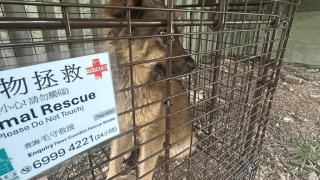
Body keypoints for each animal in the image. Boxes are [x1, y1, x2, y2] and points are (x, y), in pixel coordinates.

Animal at [104, 0, 198, 179]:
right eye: (164, 34)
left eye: (177, 34)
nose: (193, 64)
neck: (135, 86)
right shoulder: (123, 125)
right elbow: (113, 162)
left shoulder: (154, 134)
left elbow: (145, 168)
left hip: (184, 145)